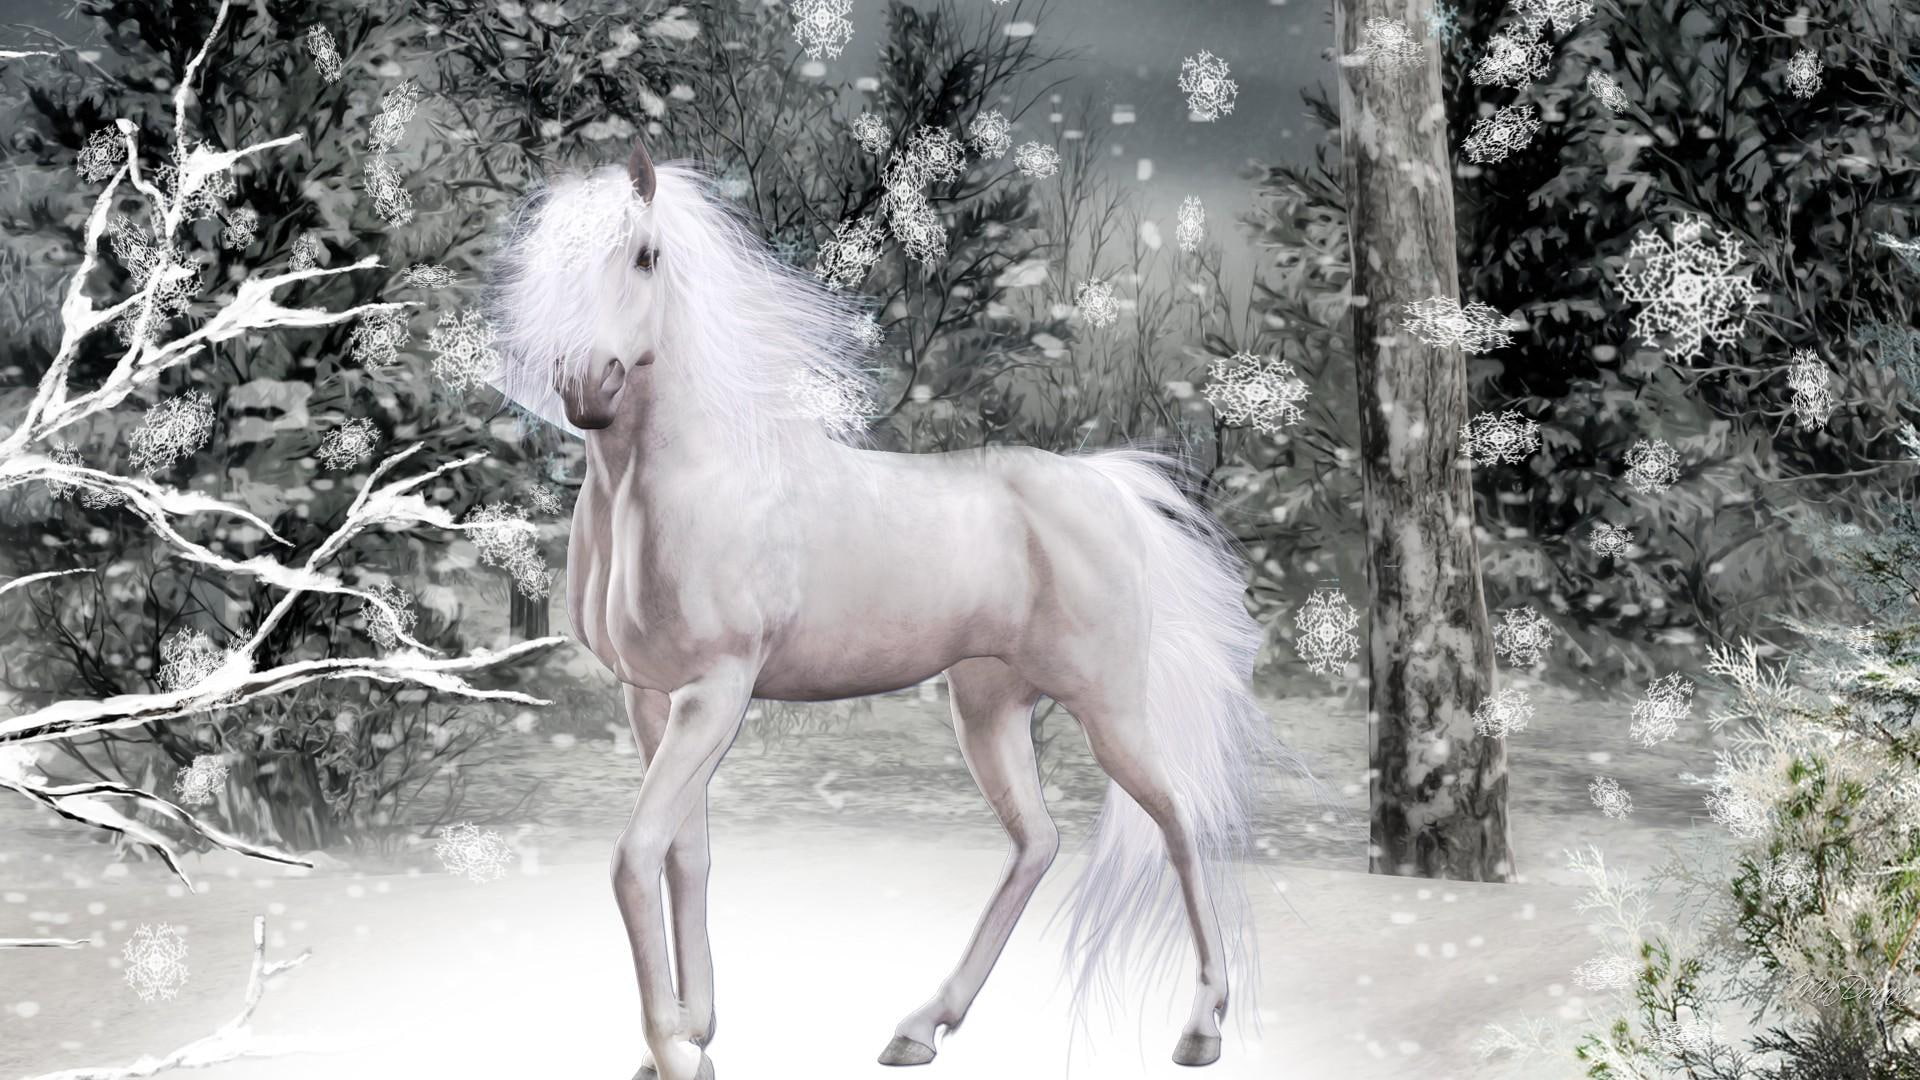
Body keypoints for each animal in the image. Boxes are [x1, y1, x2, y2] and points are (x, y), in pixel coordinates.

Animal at [490, 136, 1310, 1080]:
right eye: (549, 264)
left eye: (646, 257)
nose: (589, 386)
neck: (684, 483)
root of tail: (1104, 486)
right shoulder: (653, 699)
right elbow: (683, 855)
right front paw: (692, 1035)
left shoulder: (715, 694)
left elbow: (634, 858)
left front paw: (674, 1048)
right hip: (987, 706)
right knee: (1037, 841)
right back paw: (921, 1026)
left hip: (1109, 708)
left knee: (1179, 818)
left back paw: (1203, 1025)